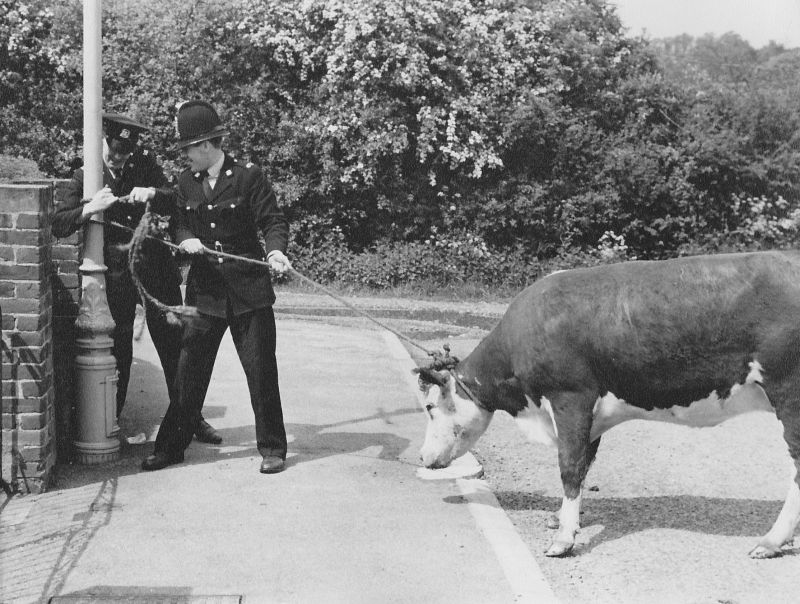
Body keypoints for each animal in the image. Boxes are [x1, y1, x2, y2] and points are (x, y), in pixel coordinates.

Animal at [416, 249, 800, 556]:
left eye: (430, 407)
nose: (421, 457)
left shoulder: (570, 398)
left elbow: (570, 467)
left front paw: (564, 540)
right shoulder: (592, 415)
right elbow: (585, 465)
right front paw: (561, 519)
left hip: (789, 393)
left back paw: (771, 541)